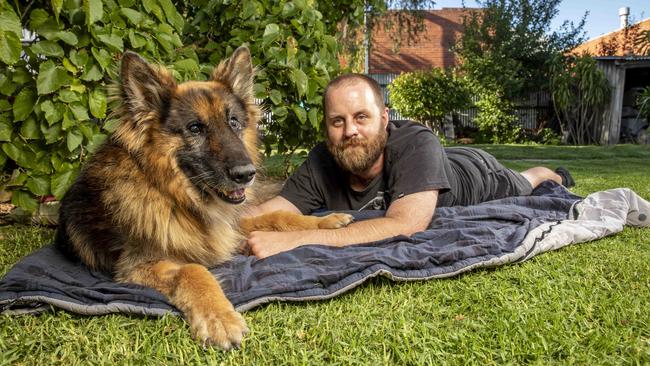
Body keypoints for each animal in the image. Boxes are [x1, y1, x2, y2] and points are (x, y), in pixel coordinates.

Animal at [55, 47, 350, 350]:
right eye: (195, 128)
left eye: (233, 122)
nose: (247, 174)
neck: (176, 199)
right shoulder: (136, 267)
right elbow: (193, 270)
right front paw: (219, 319)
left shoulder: (227, 229)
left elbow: (277, 215)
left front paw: (327, 221)